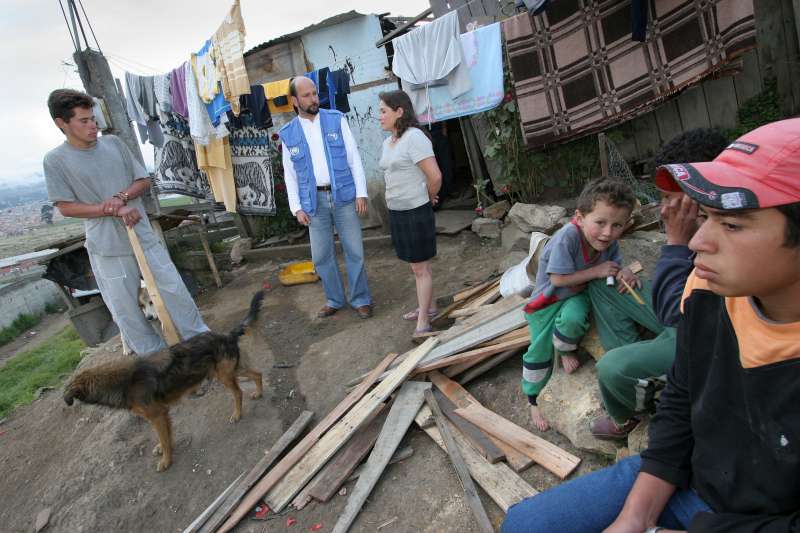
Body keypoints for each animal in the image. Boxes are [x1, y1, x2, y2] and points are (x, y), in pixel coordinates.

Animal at [65, 290, 264, 470]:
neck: (123, 381)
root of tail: (227, 335)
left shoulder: (157, 415)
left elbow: (165, 438)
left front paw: (166, 461)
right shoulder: (160, 414)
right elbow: (166, 436)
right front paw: (162, 449)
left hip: (224, 375)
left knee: (238, 392)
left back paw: (237, 414)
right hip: (229, 371)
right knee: (257, 373)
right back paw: (258, 393)